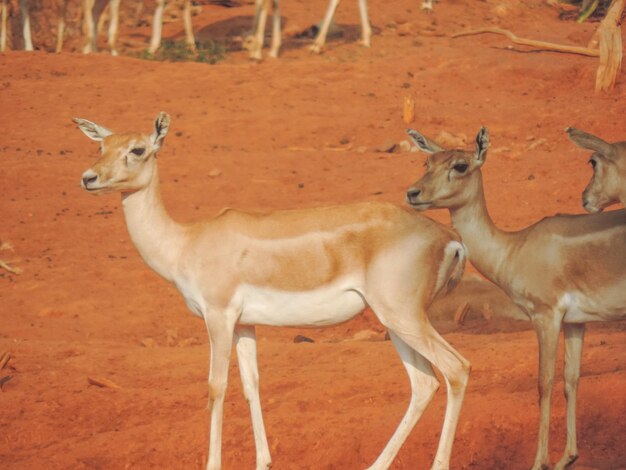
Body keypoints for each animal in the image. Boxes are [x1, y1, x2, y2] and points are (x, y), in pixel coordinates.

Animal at [75, 113, 470, 470]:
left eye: (138, 149)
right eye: (101, 146)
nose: (88, 178)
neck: (186, 242)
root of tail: (449, 238)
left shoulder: (218, 317)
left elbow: (216, 386)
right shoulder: (244, 325)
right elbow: (252, 384)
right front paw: (263, 461)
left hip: (403, 317)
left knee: (456, 368)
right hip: (395, 322)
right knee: (424, 383)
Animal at [404, 126, 624, 470]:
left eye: (460, 166)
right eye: (427, 162)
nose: (413, 193)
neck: (514, 249)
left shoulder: (545, 316)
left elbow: (543, 382)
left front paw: (539, 462)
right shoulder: (576, 322)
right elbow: (570, 378)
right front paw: (567, 458)